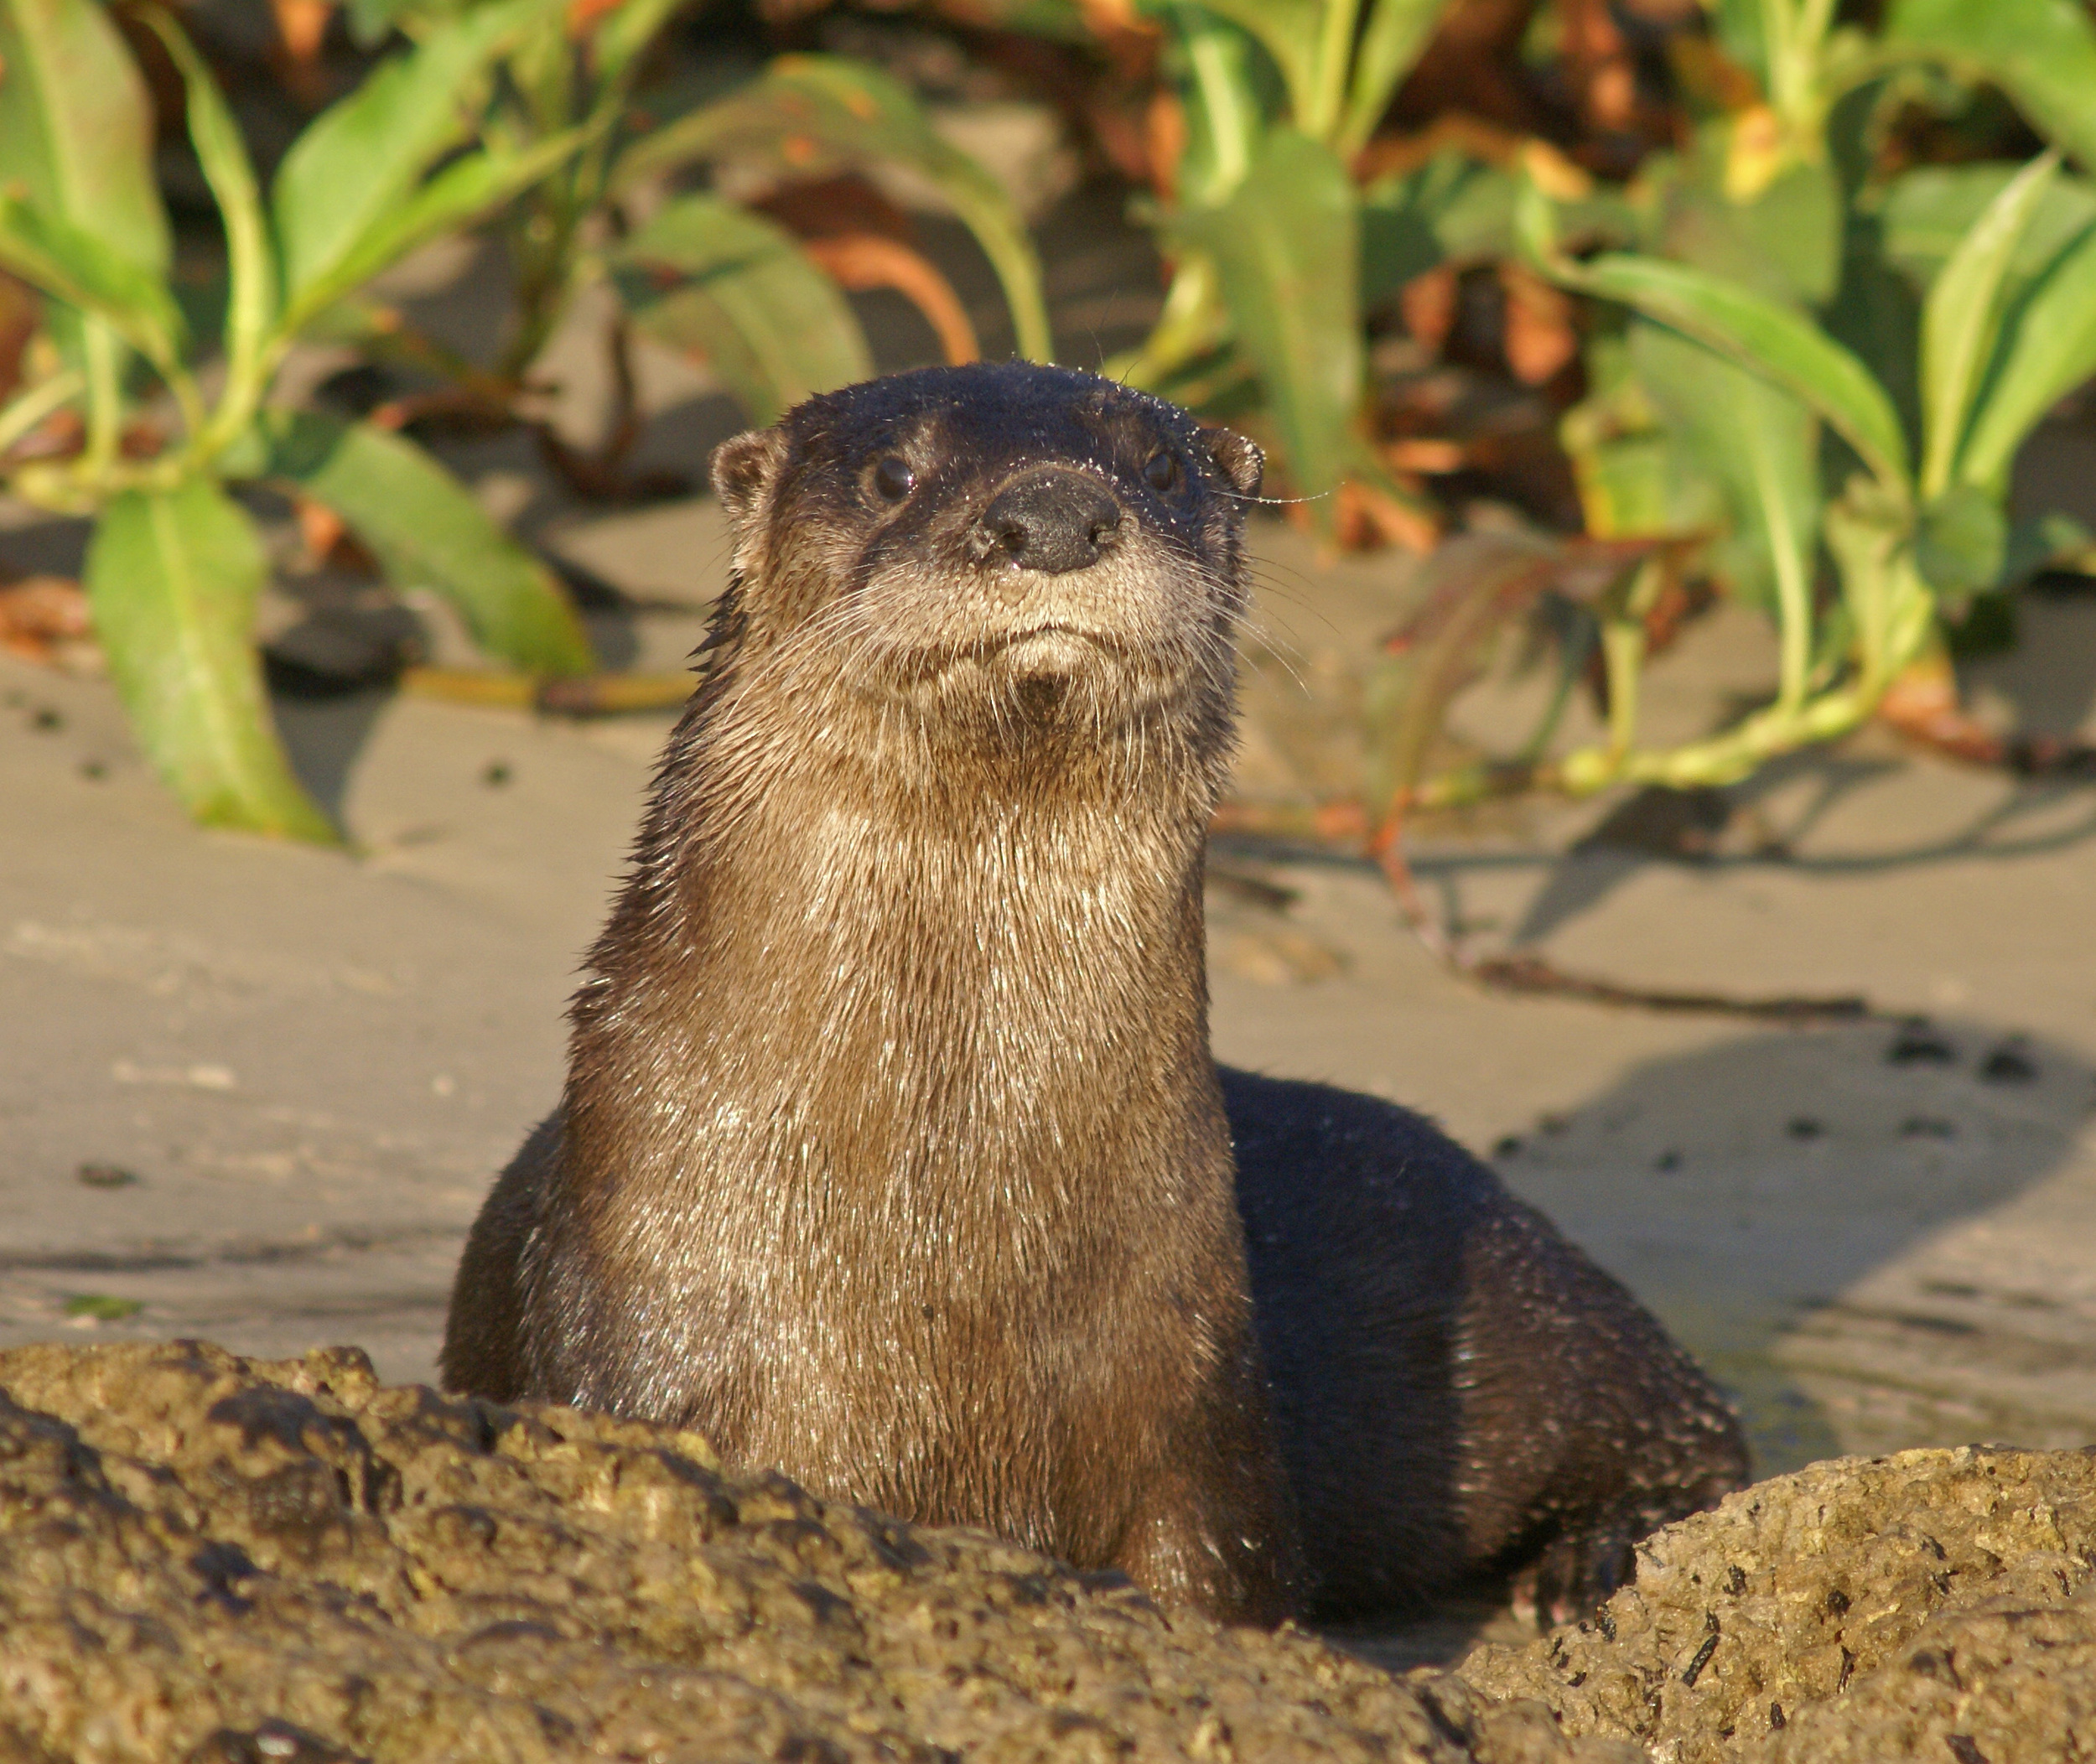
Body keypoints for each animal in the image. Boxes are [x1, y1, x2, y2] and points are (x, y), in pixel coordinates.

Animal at [446, 358, 1752, 1626]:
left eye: (1160, 465)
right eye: (890, 472)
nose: (1055, 511)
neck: (938, 1260)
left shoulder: (1202, 1415)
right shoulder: (638, 1334)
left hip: (1530, 1305)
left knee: (1694, 1417)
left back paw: (1601, 1553)